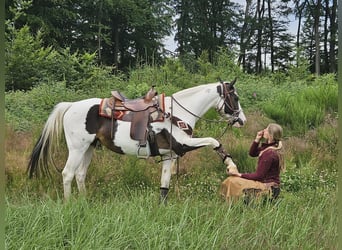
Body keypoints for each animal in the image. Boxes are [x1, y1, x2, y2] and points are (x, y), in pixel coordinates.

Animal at [26, 78, 246, 203]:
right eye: (235, 98)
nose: (242, 120)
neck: (177, 112)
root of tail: (71, 105)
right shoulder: (182, 144)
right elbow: (214, 141)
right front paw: (232, 166)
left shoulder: (170, 155)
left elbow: (165, 184)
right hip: (77, 148)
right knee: (67, 174)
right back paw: (70, 204)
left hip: (89, 148)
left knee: (80, 174)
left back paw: (84, 201)